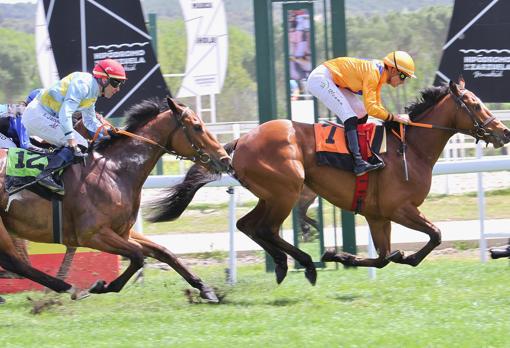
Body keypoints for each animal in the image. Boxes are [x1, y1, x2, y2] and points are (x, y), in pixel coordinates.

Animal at [0, 98, 230, 302]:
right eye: (197, 126)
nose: (225, 158)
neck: (114, 171)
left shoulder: (122, 231)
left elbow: (163, 252)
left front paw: (206, 289)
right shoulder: (93, 234)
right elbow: (137, 256)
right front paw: (104, 286)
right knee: (14, 263)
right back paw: (73, 288)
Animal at [146, 80, 510, 284]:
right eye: (476, 104)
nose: (503, 131)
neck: (411, 147)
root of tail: (239, 141)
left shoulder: (378, 215)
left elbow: (383, 256)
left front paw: (343, 256)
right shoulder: (400, 209)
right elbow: (434, 235)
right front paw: (392, 257)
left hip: (272, 194)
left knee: (248, 225)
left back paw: (286, 264)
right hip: (286, 190)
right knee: (265, 228)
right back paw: (304, 264)